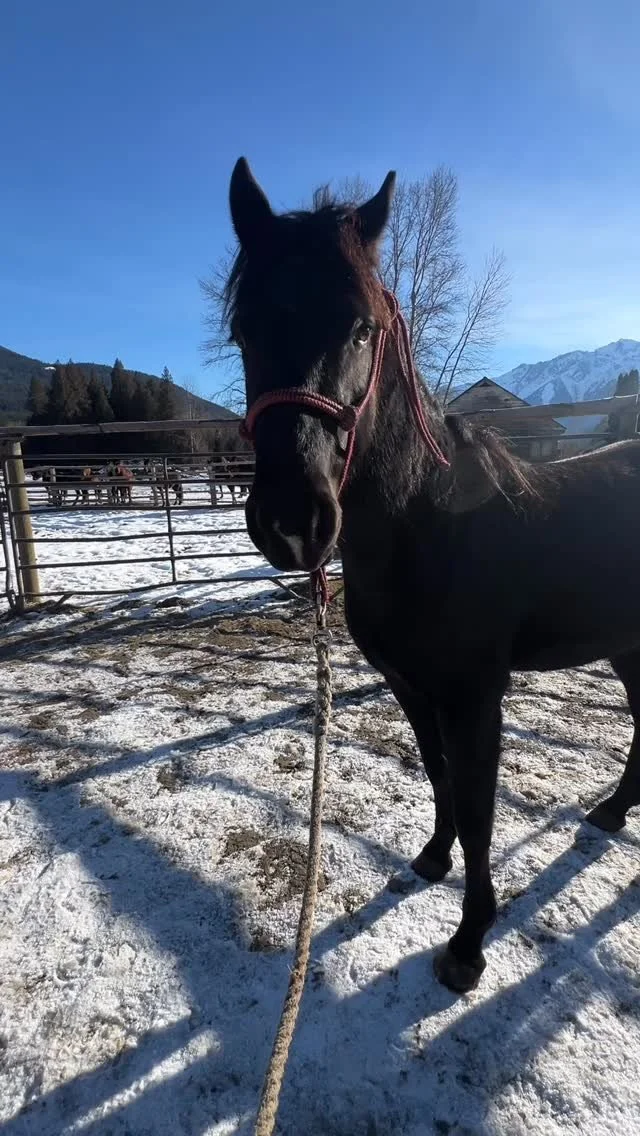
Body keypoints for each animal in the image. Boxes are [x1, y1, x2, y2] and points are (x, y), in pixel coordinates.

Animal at [225, 157, 640, 994]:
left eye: (363, 327)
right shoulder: (410, 686)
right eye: (244, 328)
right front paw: (430, 860)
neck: (429, 528)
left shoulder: (476, 698)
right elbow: (438, 776)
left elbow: (480, 811)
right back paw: (613, 812)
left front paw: (468, 945)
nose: (293, 518)